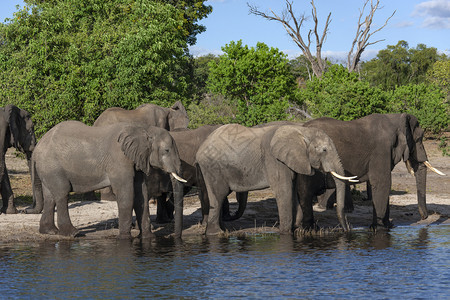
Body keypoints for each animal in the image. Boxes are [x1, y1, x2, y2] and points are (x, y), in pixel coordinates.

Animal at [25, 120, 185, 239]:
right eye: (166, 151)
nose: (173, 237)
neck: (143, 129)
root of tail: (37, 148)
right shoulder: (118, 160)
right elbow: (126, 195)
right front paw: (125, 238)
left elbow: (142, 195)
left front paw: (147, 238)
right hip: (53, 166)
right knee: (61, 194)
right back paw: (73, 234)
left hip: (47, 168)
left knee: (50, 197)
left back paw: (50, 231)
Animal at [195, 123, 356, 236]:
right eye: (324, 150)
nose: (346, 230)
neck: (301, 131)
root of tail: (201, 148)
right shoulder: (274, 160)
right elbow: (284, 191)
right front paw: (285, 233)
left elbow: (293, 191)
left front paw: (297, 230)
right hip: (213, 168)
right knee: (218, 195)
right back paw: (216, 233)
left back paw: (223, 231)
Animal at [300, 113, 444, 229]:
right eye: (419, 138)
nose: (424, 217)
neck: (396, 118)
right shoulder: (381, 150)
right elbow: (382, 183)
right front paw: (379, 229)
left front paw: (388, 227)